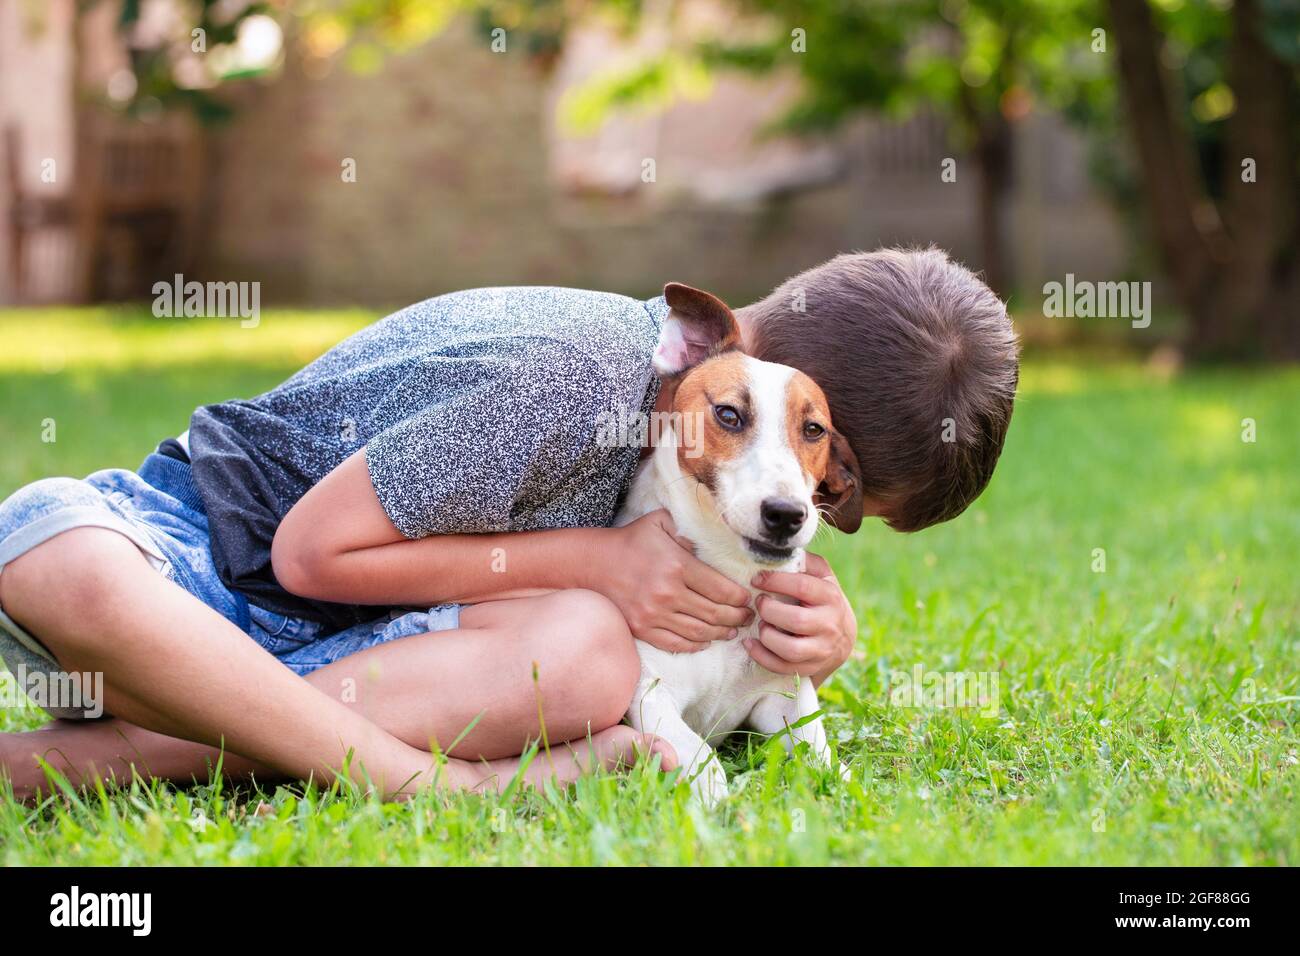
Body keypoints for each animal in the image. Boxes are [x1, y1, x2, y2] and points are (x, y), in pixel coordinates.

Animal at [616, 280, 863, 806]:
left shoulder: (786, 698)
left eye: (815, 429)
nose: (787, 515)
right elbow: (701, 759)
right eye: (728, 414)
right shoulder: (651, 693)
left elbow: (824, 756)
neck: (735, 572)